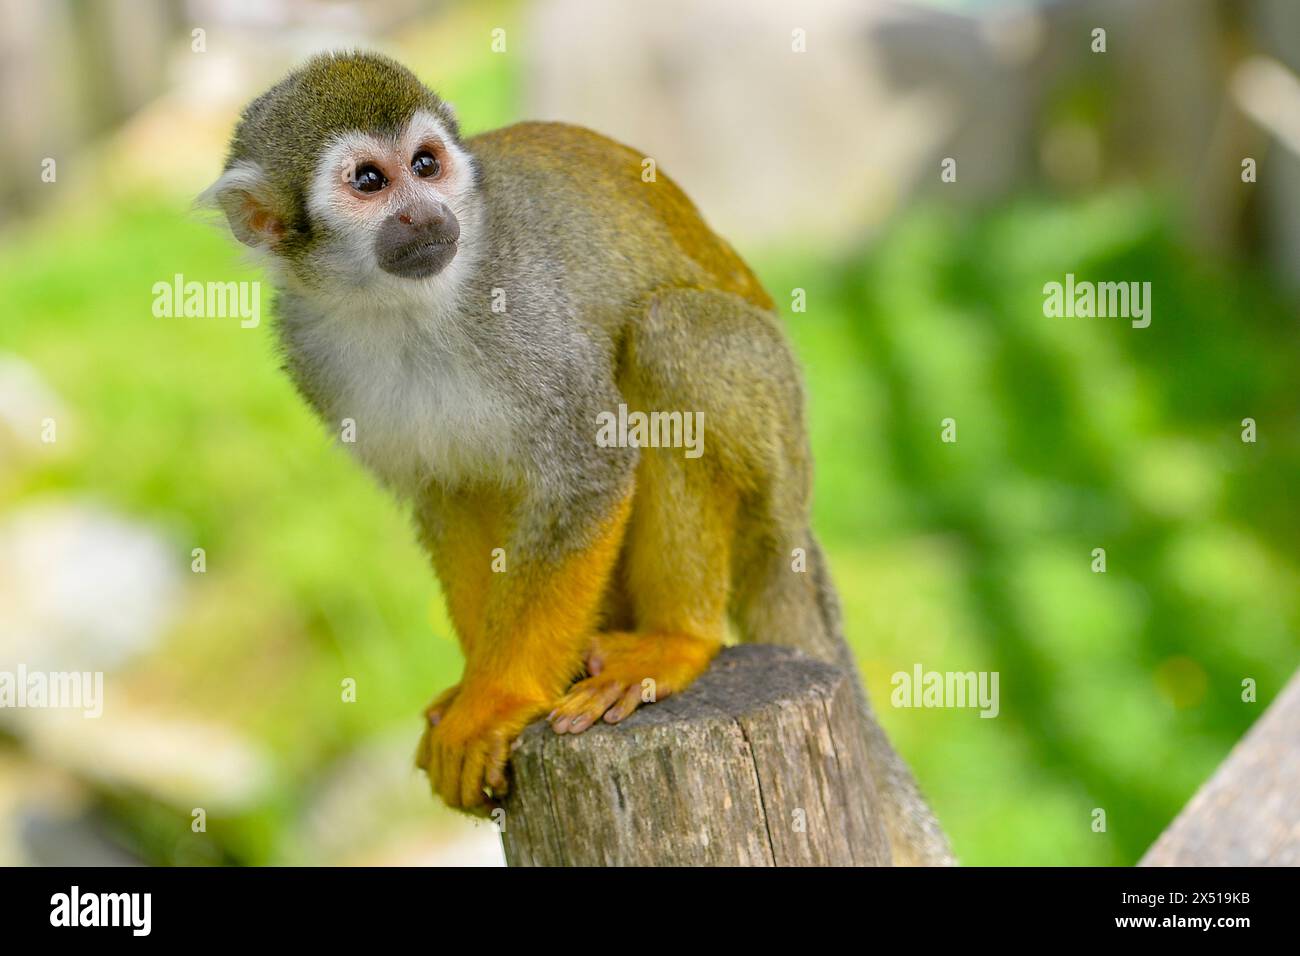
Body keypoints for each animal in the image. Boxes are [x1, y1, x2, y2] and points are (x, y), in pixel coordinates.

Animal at [208, 50, 951, 858]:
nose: (425, 215)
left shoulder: (523, 308)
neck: (401, 306)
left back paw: (675, 641)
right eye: (369, 181)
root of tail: (800, 518)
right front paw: (475, 684)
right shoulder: (314, 354)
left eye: (425, 165)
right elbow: (448, 495)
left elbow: (591, 469)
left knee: (671, 334)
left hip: (776, 428)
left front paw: (496, 698)